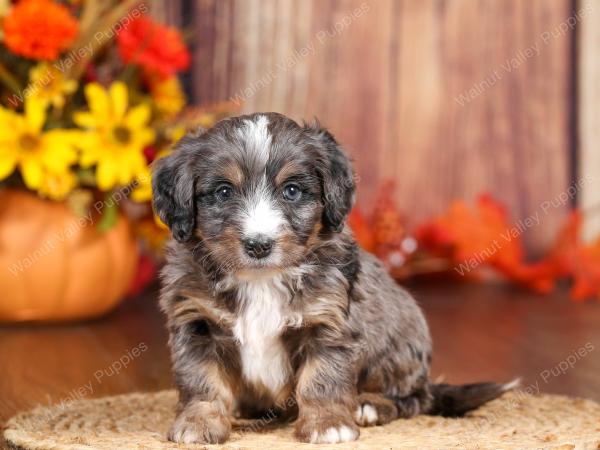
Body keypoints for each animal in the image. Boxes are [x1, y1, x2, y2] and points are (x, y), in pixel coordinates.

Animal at [151, 111, 516, 442]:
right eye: (224, 192)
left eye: (292, 191)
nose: (258, 245)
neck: (261, 279)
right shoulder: (196, 320)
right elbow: (202, 380)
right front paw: (198, 422)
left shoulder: (327, 320)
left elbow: (321, 379)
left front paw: (328, 424)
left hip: (400, 348)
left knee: (412, 399)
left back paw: (370, 406)